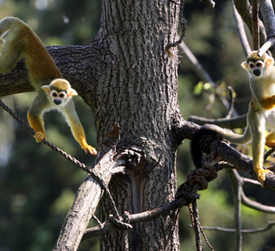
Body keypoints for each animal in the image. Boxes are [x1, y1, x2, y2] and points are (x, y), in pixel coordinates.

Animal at [0, 16, 97, 155]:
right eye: (54, 94)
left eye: (61, 96)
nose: (57, 100)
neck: (52, 101)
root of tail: (25, 27)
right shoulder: (43, 97)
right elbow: (33, 113)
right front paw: (42, 135)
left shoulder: (68, 102)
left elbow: (74, 122)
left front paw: (85, 145)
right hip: (17, 41)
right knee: (5, 65)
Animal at [191, 50, 275, 184]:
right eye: (252, 66)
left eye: (259, 64)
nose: (255, 70)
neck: (264, 75)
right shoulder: (253, 82)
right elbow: (263, 103)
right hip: (254, 113)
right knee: (258, 133)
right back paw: (258, 167)